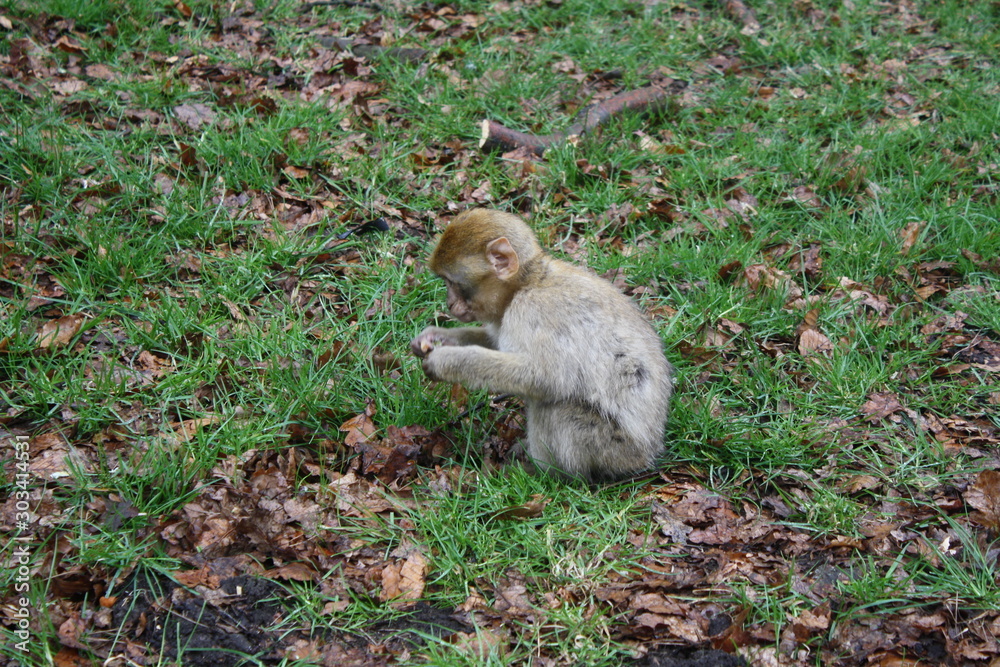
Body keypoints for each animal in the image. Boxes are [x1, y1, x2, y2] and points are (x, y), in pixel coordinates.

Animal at [410, 209, 674, 482]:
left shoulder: (533, 309)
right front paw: (434, 337)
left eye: (452, 282)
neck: (529, 282)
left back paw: (544, 475)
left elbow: (547, 377)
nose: (449, 303)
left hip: (612, 448)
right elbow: (495, 341)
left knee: (554, 404)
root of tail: (648, 455)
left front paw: (445, 361)